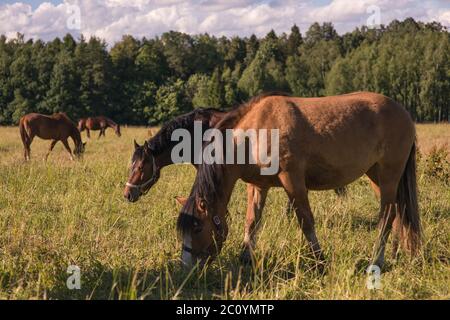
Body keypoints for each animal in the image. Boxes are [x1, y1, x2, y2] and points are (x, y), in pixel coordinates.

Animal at [174, 92, 420, 270]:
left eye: (197, 227)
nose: (186, 268)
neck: (254, 134)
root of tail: (403, 113)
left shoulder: (292, 179)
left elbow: (306, 221)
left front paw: (319, 261)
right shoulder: (257, 186)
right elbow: (252, 221)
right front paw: (245, 258)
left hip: (389, 174)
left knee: (387, 215)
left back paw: (376, 260)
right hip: (376, 176)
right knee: (396, 212)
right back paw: (395, 254)